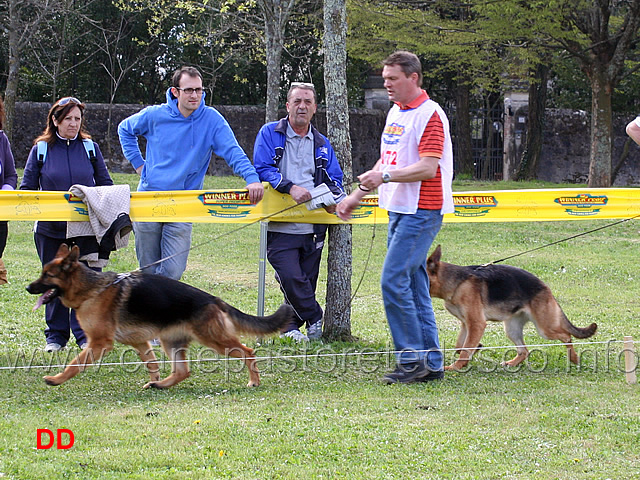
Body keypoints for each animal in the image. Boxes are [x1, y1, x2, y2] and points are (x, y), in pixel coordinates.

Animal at [25, 246, 296, 388]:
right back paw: (160, 384)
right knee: (183, 371)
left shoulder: (99, 343)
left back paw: (254, 381)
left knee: (248, 352)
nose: (28, 288)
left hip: (214, 340)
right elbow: (151, 363)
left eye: (48, 276)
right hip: (170, 342)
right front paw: (153, 379)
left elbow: (75, 363)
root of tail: (214, 300)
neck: (92, 289)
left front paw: (56, 379)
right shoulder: (139, 341)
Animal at [428, 246, 596, 370]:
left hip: (545, 328)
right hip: (512, 329)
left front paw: (455, 367)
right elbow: (460, 346)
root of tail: (546, 289)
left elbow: (464, 350)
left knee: (566, 336)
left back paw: (574, 358)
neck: (456, 283)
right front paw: (475, 349)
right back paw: (512, 363)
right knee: (524, 351)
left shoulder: (476, 324)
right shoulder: (466, 324)